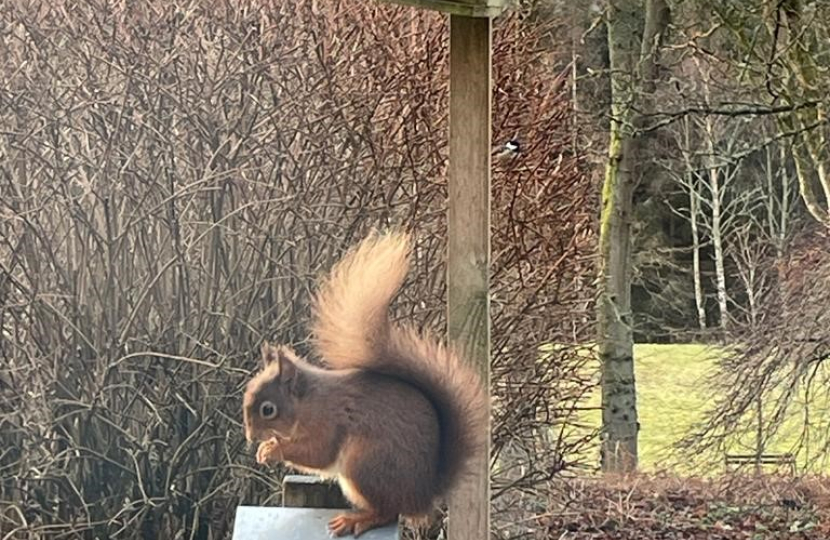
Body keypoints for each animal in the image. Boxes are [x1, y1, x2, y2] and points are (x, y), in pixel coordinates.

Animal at [242, 231, 488, 536]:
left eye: (268, 409)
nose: (251, 437)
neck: (308, 403)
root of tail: (423, 494)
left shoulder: (327, 423)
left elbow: (318, 453)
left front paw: (274, 449)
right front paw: (266, 447)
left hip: (365, 464)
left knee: (387, 512)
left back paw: (356, 519)